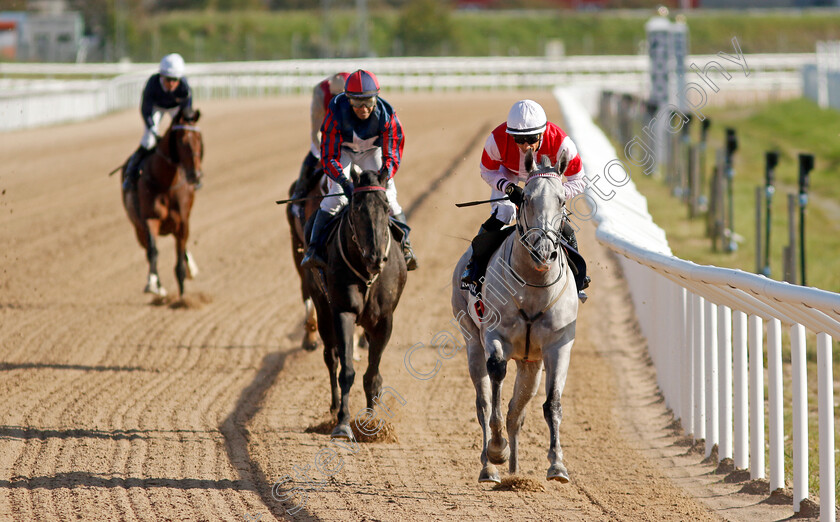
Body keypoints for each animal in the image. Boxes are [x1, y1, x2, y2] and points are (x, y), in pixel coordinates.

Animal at [121, 105, 203, 296]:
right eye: (181, 141)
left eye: (199, 139)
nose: (195, 175)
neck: (166, 183)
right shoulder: (149, 219)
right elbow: (153, 252)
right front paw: (153, 285)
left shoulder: (183, 222)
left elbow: (180, 263)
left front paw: (183, 296)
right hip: (138, 228)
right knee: (149, 250)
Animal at [306, 166, 408, 434]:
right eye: (356, 209)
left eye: (385, 206)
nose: (375, 257)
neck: (367, 274)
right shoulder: (343, 312)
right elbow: (346, 371)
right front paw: (343, 422)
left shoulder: (384, 320)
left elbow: (372, 375)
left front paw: (370, 423)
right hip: (321, 306)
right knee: (331, 357)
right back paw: (333, 408)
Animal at [452, 152, 576, 482]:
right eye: (526, 199)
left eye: (561, 200)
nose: (544, 252)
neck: (533, 287)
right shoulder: (495, 335)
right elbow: (496, 376)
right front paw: (497, 449)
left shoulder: (558, 345)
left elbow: (552, 403)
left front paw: (557, 464)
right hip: (471, 339)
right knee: (483, 403)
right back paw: (489, 466)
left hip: (530, 363)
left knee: (516, 411)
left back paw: (515, 470)